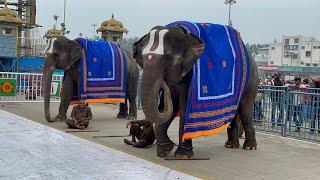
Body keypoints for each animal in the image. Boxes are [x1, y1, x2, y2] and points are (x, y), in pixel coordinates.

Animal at [134, 21, 258, 158]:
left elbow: (183, 107)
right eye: (143, 58)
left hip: (251, 80)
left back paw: (249, 147)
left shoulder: (190, 75)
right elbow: (171, 108)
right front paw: (165, 150)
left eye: (167, 56)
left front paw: (183, 155)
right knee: (235, 111)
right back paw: (231, 145)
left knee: (245, 109)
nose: (163, 85)